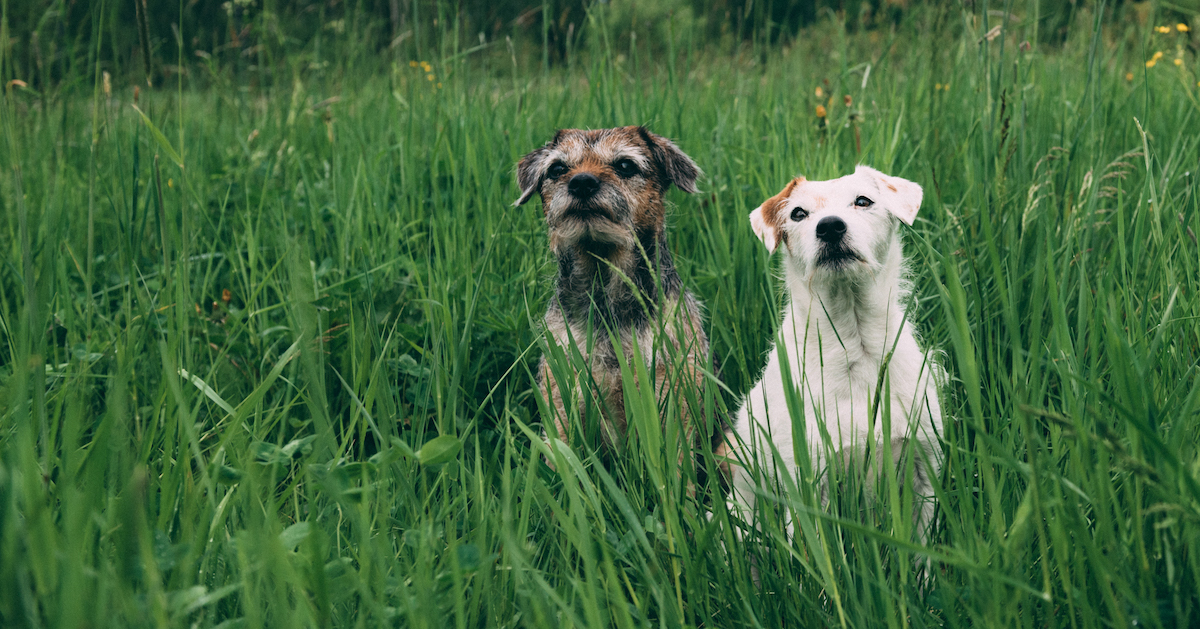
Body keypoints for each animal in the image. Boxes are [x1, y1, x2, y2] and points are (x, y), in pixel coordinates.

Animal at [720, 165, 945, 540]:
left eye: (863, 201)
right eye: (798, 213)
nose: (829, 226)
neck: (855, 345)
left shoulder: (924, 474)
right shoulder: (809, 486)